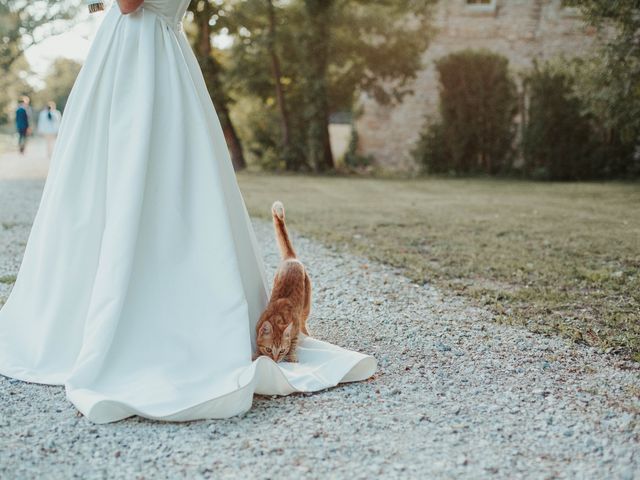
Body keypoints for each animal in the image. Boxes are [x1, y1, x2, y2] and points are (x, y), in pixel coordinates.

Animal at [258, 201, 312, 362]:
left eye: (282, 350)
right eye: (269, 349)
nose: (275, 360)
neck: (277, 316)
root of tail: (290, 257)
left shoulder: (295, 327)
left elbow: (293, 342)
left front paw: (292, 356)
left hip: (306, 307)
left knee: (304, 323)